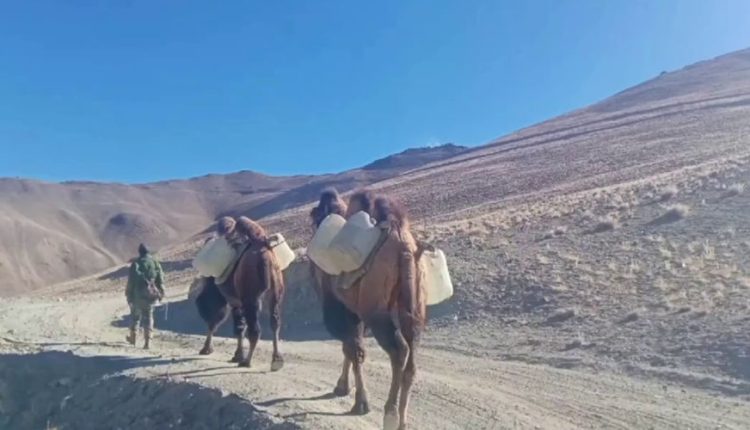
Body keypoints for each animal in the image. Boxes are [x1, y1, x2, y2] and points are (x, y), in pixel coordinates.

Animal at [195, 216, 286, 371]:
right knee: (275, 322)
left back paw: (246, 361)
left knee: (255, 330)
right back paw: (276, 360)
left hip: (251, 298)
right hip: (276, 291)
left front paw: (207, 349)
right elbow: (240, 327)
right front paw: (236, 355)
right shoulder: (236, 302)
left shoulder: (231, 300)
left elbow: (234, 325)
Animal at [309, 188, 426, 430]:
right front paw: (342, 387)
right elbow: (351, 347)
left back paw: (390, 415)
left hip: (376, 311)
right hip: (413, 305)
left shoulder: (340, 307)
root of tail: (404, 247)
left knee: (399, 349)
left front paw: (360, 402)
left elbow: (353, 349)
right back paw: (403, 420)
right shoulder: (352, 309)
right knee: (412, 351)